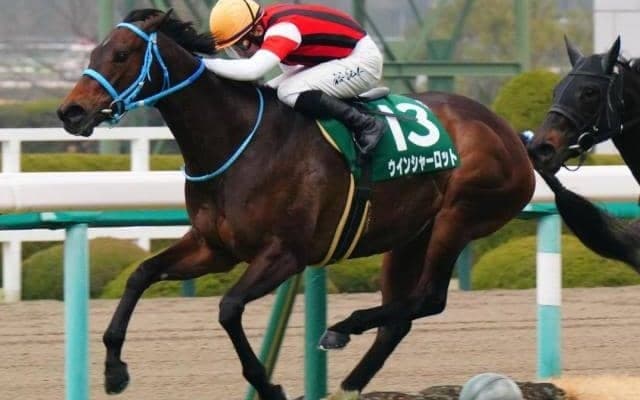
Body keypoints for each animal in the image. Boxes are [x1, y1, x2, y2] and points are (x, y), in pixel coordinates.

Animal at [57, 9, 534, 400]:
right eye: (95, 51)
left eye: (121, 54)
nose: (71, 112)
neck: (238, 141)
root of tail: (511, 134)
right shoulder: (214, 248)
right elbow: (140, 274)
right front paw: (114, 370)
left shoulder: (285, 254)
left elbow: (228, 308)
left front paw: (269, 385)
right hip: (411, 234)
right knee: (402, 317)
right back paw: (346, 385)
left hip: (459, 217)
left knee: (429, 297)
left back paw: (341, 329)